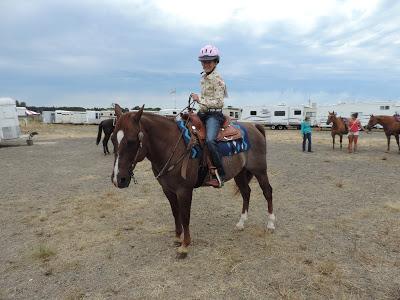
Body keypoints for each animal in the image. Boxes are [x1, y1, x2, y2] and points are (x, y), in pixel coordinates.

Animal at [109, 103, 276, 258]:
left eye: (131, 141)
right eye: (112, 138)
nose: (118, 179)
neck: (171, 146)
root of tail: (255, 126)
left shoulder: (184, 190)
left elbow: (185, 216)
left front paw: (185, 246)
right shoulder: (168, 190)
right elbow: (175, 213)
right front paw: (177, 238)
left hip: (259, 171)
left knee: (267, 192)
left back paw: (271, 224)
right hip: (240, 173)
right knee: (246, 192)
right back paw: (241, 223)